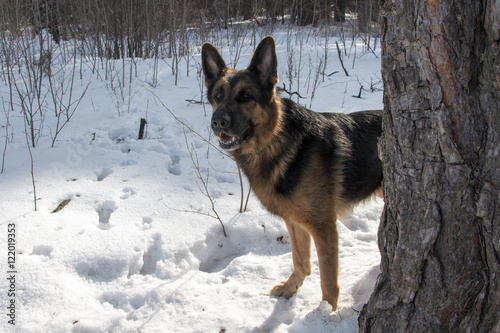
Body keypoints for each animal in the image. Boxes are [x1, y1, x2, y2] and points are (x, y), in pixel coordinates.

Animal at [201, 36, 380, 308]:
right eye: (217, 96)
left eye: (246, 96)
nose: (218, 122)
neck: (274, 141)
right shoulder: (295, 221)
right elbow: (301, 261)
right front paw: (291, 288)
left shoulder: (324, 226)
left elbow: (328, 281)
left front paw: (326, 312)